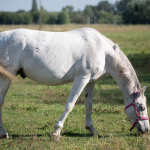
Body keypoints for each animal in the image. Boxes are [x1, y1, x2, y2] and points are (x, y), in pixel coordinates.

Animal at [0, 27, 149, 141]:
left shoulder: (91, 81)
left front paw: (91, 128)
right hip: (8, 75)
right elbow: (70, 105)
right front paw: (56, 132)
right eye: (141, 107)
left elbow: (89, 105)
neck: (101, 50)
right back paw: (4, 133)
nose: (146, 129)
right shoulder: (81, 78)